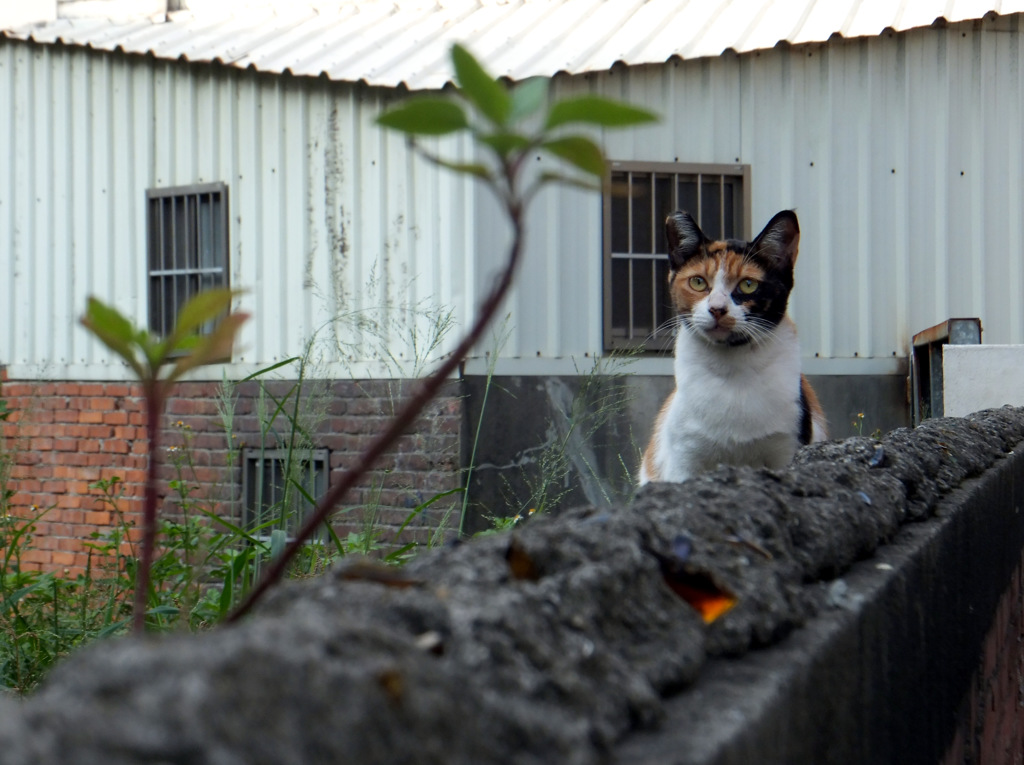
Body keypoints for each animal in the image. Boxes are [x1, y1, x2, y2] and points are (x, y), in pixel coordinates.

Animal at [643, 209, 827, 485]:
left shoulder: (787, 448)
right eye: (698, 282)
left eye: (748, 285)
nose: (717, 309)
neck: (731, 369)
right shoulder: (683, 457)